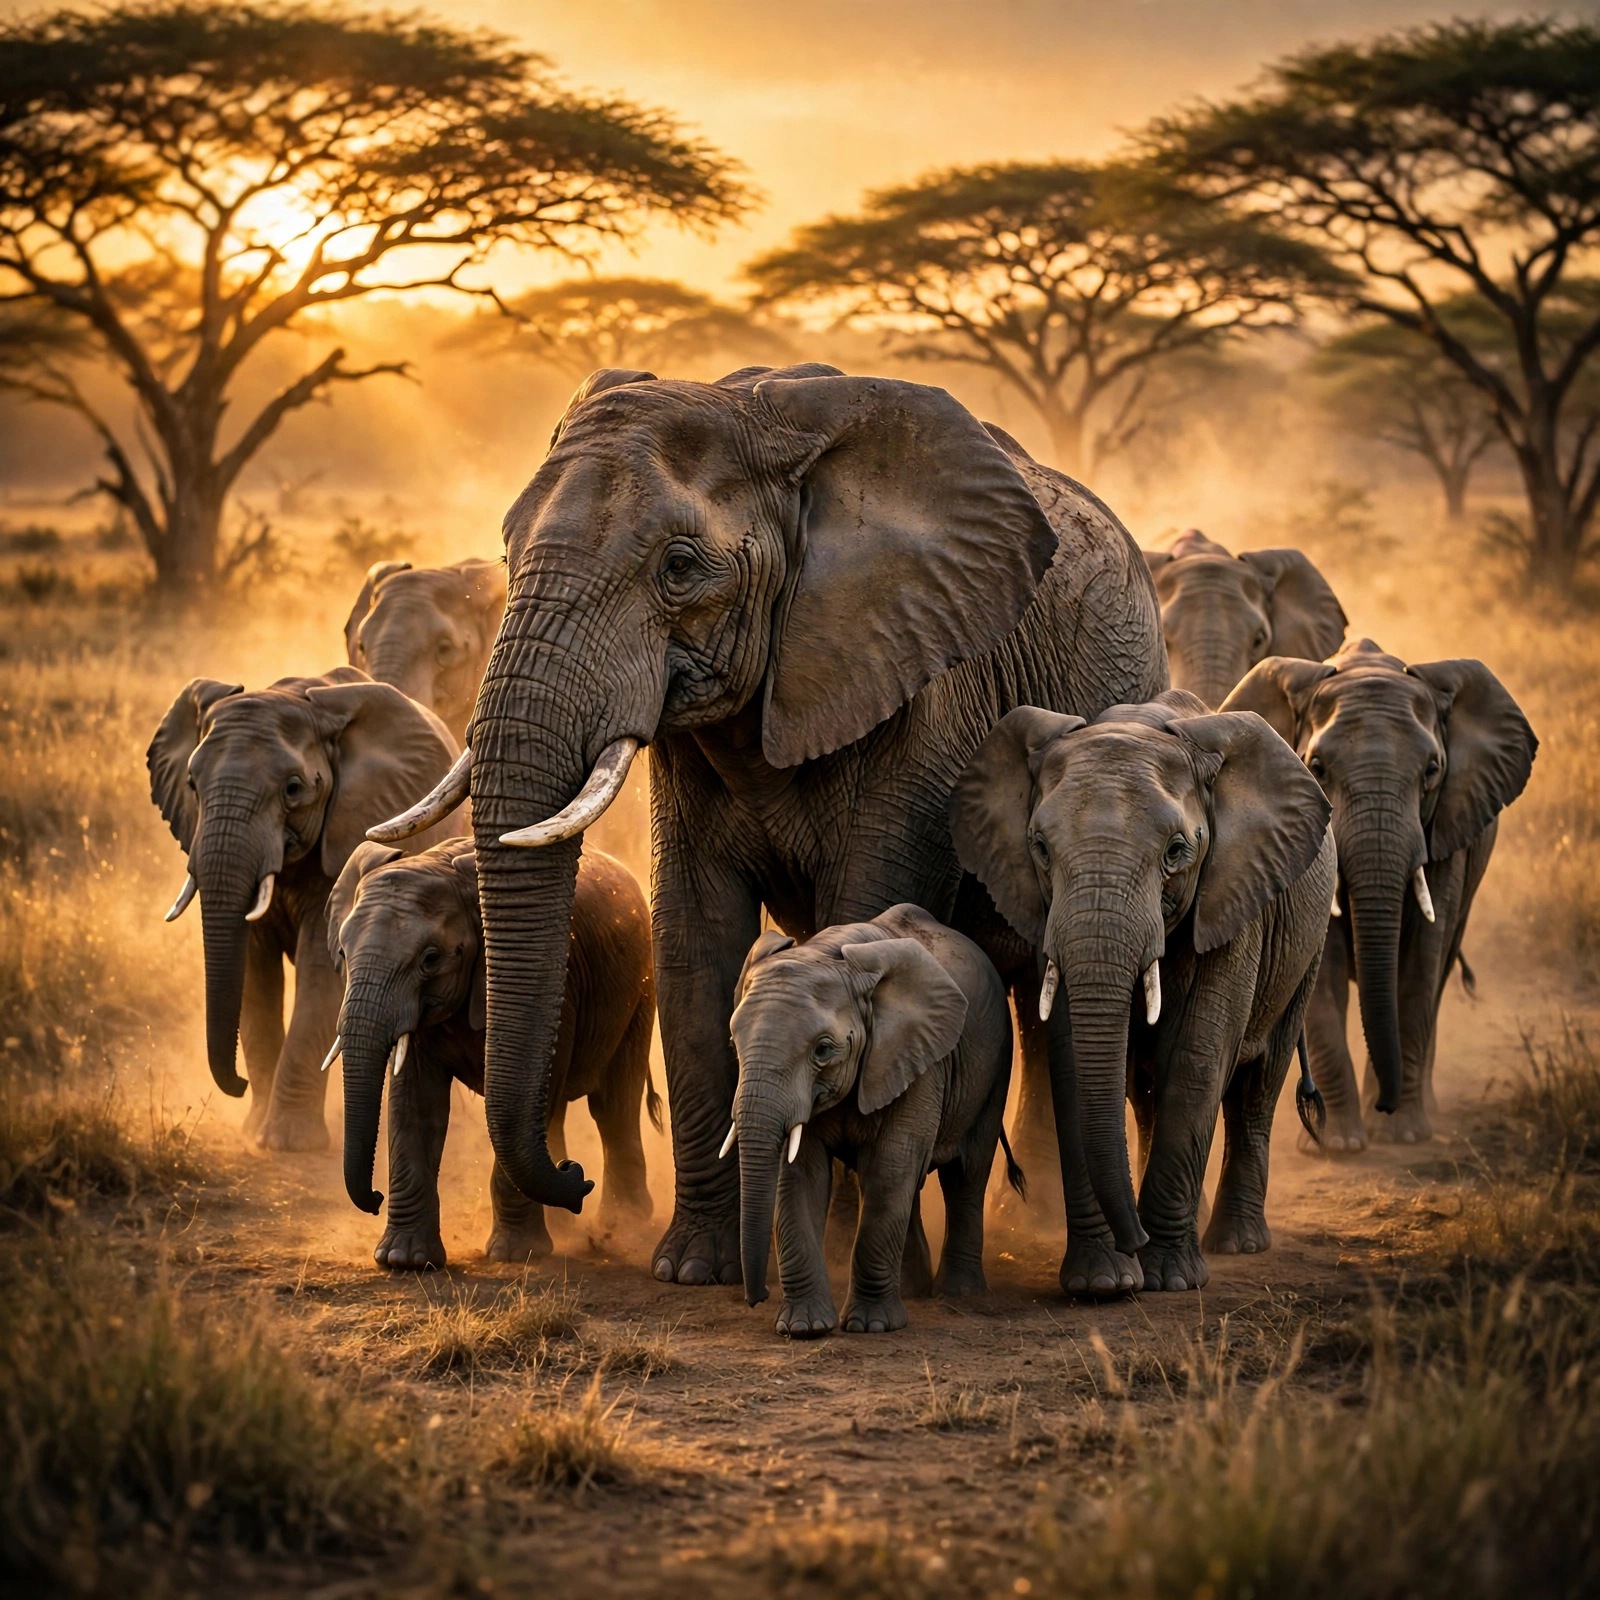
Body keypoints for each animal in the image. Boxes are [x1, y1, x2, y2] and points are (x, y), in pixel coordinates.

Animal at [148, 668, 461, 1150]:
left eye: (293, 789)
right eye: (192, 786)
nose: (236, 1085)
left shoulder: (348, 833)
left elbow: (318, 972)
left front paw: (286, 1144)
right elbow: (253, 969)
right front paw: (254, 1131)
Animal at [326, 838, 658, 1269]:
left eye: (431, 959)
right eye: (342, 954)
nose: (375, 1198)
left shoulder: (560, 991)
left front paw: (516, 1254)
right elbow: (417, 1106)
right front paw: (404, 1260)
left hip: (640, 990)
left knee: (612, 1106)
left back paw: (622, 1222)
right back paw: (566, 1221)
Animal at [727, 904, 1018, 1337]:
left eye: (823, 1050)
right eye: (734, 1042)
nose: (756, 1297)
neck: (828, 954)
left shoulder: (920, 1057)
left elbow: (890, 1166)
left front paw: (872, 1326)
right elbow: (801, 1174)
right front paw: (803, 1328)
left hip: (994, 1064)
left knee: (965, 1174)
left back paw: (959, 1294)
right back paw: (913, 1289)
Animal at [951, 691, 1335, 1293]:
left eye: (1177, 851)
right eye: (1040, 847)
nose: (1134, 1239)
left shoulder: (1232, 895)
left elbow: (1199, 1061)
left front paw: (1170, 1279)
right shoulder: (1047, 914)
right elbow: (1073, 1060)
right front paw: (1104, 1283)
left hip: (1306, 947)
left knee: (1259, 1083)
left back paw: (1237, 1242)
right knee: (1147, 1091)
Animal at [1225, 638, 1536, 1150]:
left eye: (1433, 770)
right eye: (1316, 768)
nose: (1385, 1105)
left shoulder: (1445, 829)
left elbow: (1419, 961)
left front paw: (1402, 1134)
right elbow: (1325, 971)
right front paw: (1341, 1144)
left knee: (1439, 971)